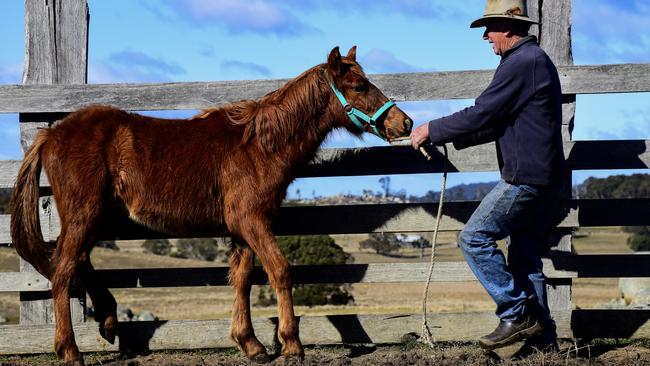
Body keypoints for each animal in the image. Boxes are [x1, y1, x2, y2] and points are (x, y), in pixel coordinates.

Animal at [10, 45, 412, 364]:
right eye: (359, 86)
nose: (404, 122)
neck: (258, 145)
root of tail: (51, 134)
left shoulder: (243, 228)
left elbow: (243, 279)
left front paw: (251, 345)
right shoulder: (252, 221)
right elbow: (280, 271)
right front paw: (291, 345)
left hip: (97, 217)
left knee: (78, 262)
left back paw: (108, 321)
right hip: (84, 215)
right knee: (63, 271)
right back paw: (70, 350)